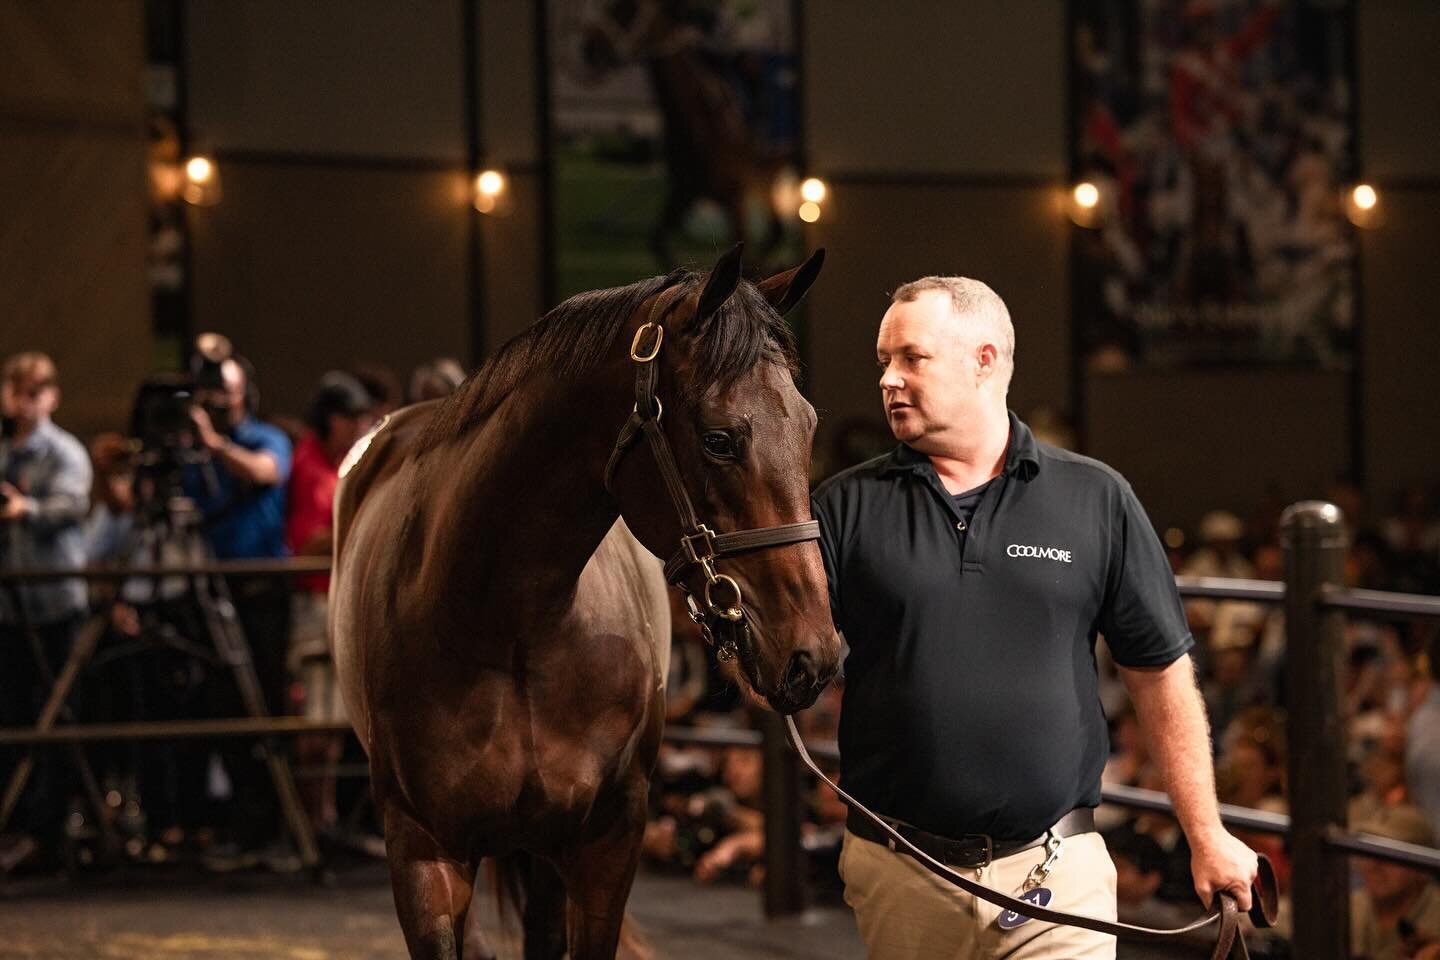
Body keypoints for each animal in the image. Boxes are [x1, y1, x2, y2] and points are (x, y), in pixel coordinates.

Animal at [329, 244, 840, 955]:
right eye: (718, 439)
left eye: (809, 425)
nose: (813, 654)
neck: (510, 627)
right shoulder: (420, 853)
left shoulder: (606, 841)